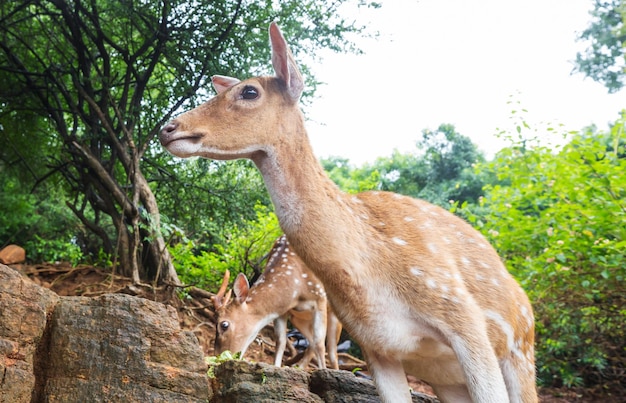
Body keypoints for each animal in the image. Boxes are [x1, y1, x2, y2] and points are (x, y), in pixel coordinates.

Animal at [211, 235, 338, 370]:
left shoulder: (320, 297)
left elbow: (320, 344)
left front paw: (323, 370)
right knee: (310, 343)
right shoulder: (282, 311)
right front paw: (276, 366)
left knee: (332, 352)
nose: (218, 357)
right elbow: (280, 341)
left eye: (224, 325)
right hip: (298, 319)